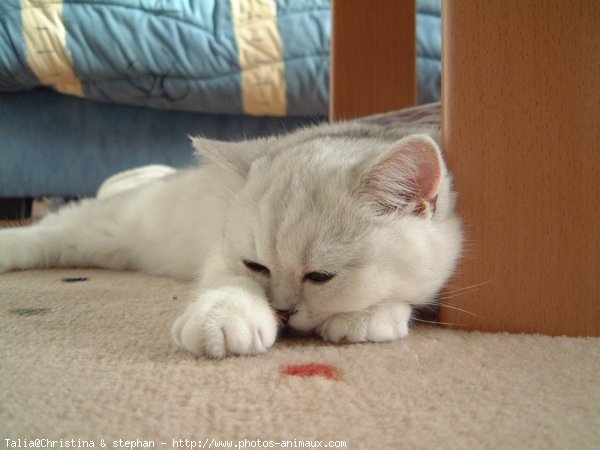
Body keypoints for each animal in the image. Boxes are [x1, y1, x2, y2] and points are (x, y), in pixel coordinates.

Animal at [0, 122, 464, 358]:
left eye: (321, 276)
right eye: (256, 266)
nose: (283, 311)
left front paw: (367, 317)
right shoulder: (220, 259)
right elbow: (229, 286)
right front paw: (223, 318)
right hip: (109, 227)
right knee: (48, 231)